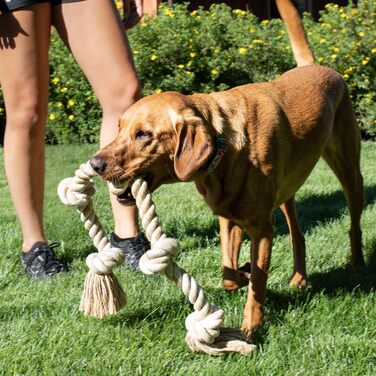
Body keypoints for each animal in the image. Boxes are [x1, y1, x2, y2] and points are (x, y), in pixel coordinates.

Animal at [90, 64, 364, 334]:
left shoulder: (261, 228)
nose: (95, 164)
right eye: (119, 128)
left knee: (354, 224)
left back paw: (358, 263)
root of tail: (319, 66)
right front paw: (244, 270)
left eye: (143, 134)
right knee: (298, 235)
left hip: (350, 173)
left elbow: (258, 281)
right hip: (288, 191)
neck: (223, 145)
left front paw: (252, 326)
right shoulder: (229, 220)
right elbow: (229, 276)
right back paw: (299, 278)